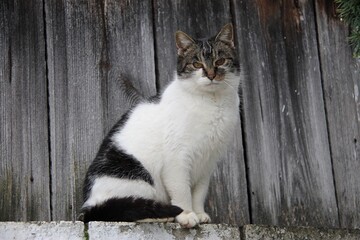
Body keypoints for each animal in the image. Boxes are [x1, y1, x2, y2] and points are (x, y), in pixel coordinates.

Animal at [80, 23, 240, 228]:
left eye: (220, 61)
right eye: (197, 64)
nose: (211, 75)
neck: (212, 103)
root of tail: (88, 204)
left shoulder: (208, 163)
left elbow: (199, 192)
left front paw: (199, 213)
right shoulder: (177, 159)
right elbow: (182, 191)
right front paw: (187, 215)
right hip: (139, 178)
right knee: (122, 210)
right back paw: (161, 215)